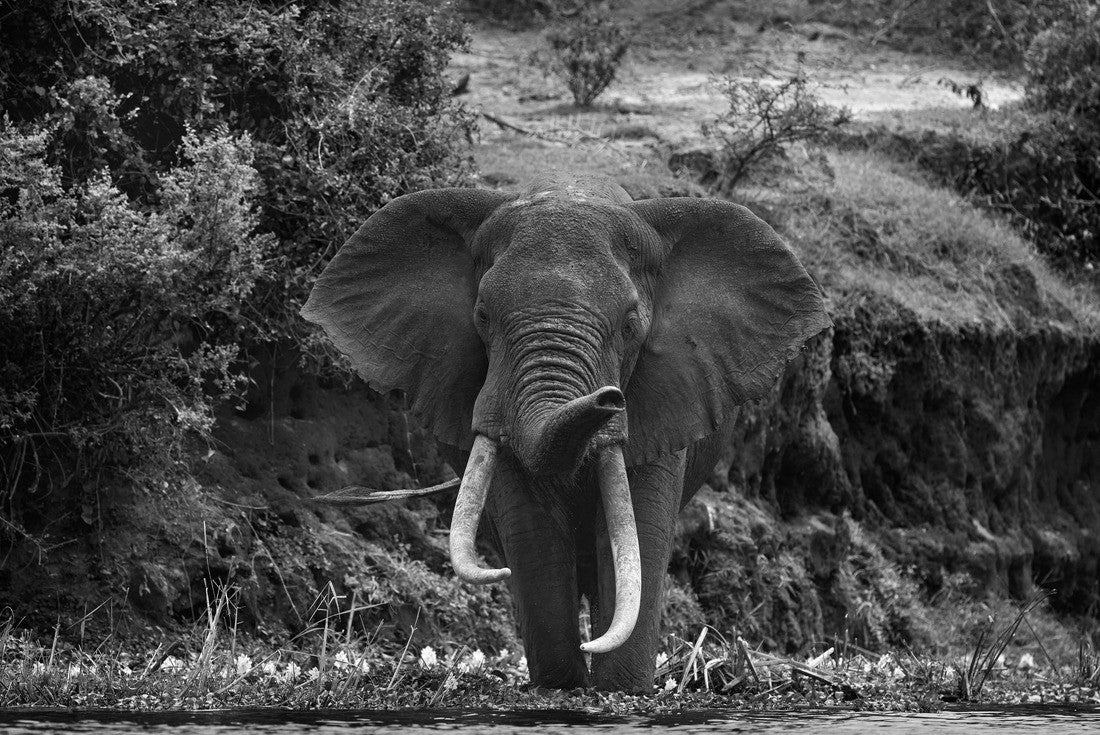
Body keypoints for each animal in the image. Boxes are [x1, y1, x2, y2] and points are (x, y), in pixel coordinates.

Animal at [301, 172, 830, 692]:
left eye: (631, 324)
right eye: (482, 315)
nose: (610, 398)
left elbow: (636, 528)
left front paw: (619, 691)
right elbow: (533, 527)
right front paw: (561, 688)